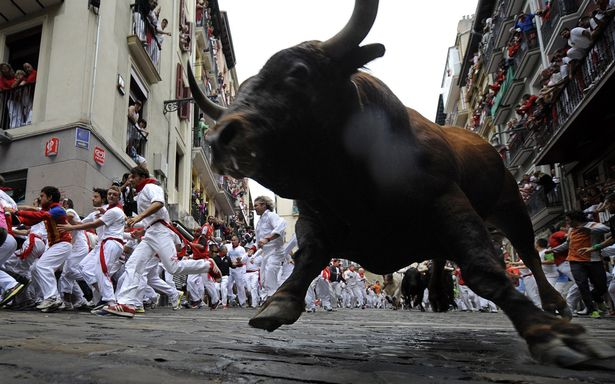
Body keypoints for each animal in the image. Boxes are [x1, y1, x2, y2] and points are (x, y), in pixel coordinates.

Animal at [189, 0, 615, 366]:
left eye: (298, 72)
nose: (219, 137)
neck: (351, 183)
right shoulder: (315, 217)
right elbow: (308, 259)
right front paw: (279, 302)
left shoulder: (449, 202)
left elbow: (485, 269)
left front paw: (550, 334)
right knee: (446, 261)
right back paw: (441, 296)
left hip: (510, 207)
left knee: (529, 255)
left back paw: (555, 304)